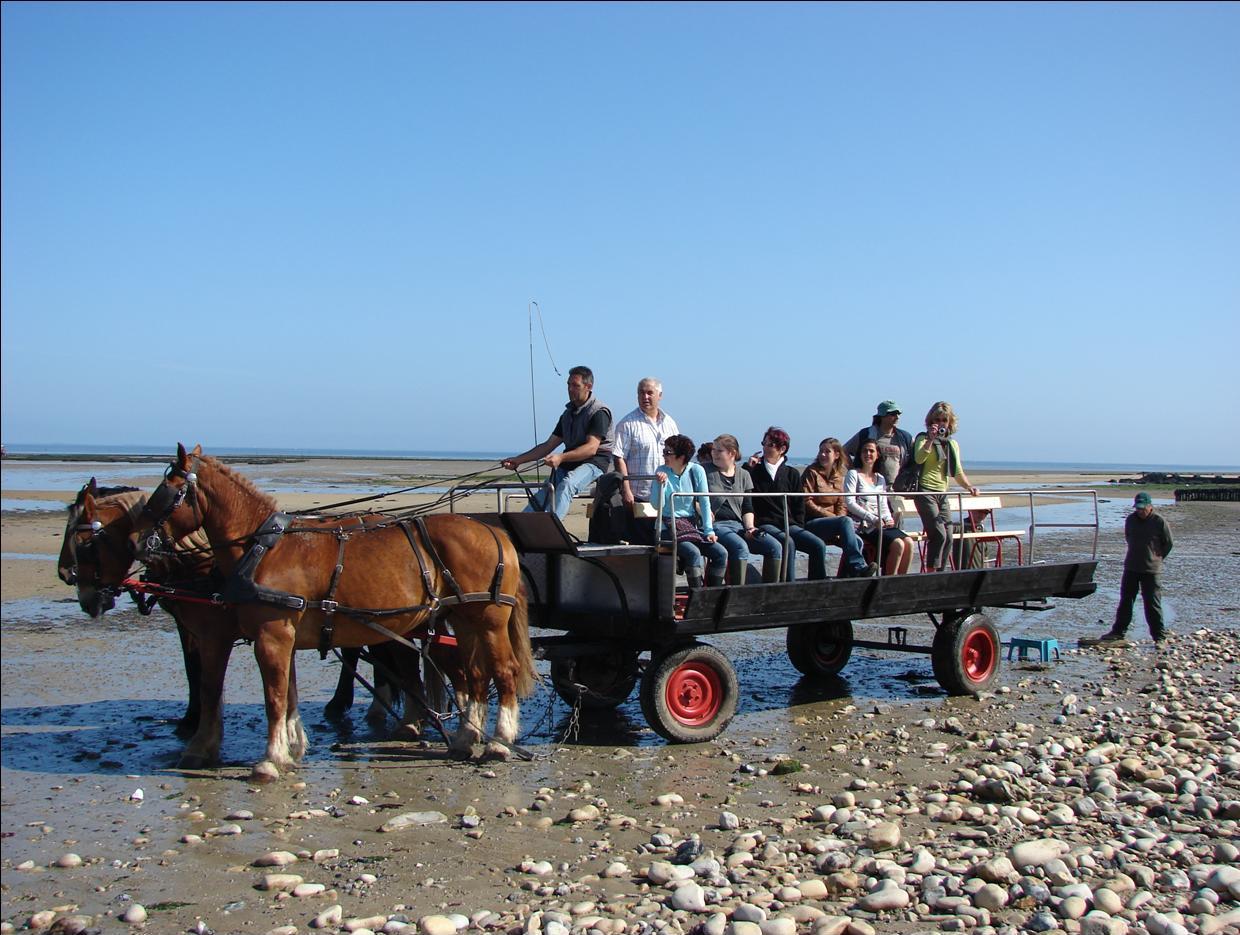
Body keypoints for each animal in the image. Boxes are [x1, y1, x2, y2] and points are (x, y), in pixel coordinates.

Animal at [58, 479, 431, 770]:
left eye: (84, 542)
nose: (66, 577)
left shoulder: (212, 633)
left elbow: (204, 680)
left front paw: (197, 732)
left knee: (396, 658)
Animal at [136, 444, 537, 781]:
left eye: (167, 491)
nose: (142, 544)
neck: (265, 549)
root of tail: (494, 532)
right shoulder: (283, 637)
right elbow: (289, 693)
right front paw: (291, 749)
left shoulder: (269, 634)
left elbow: (273, 697)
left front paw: (270, 760)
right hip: (464, 620)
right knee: (475, 673)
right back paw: (466, 738)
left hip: (489, 619)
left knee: (504, 670)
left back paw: (499, 741)